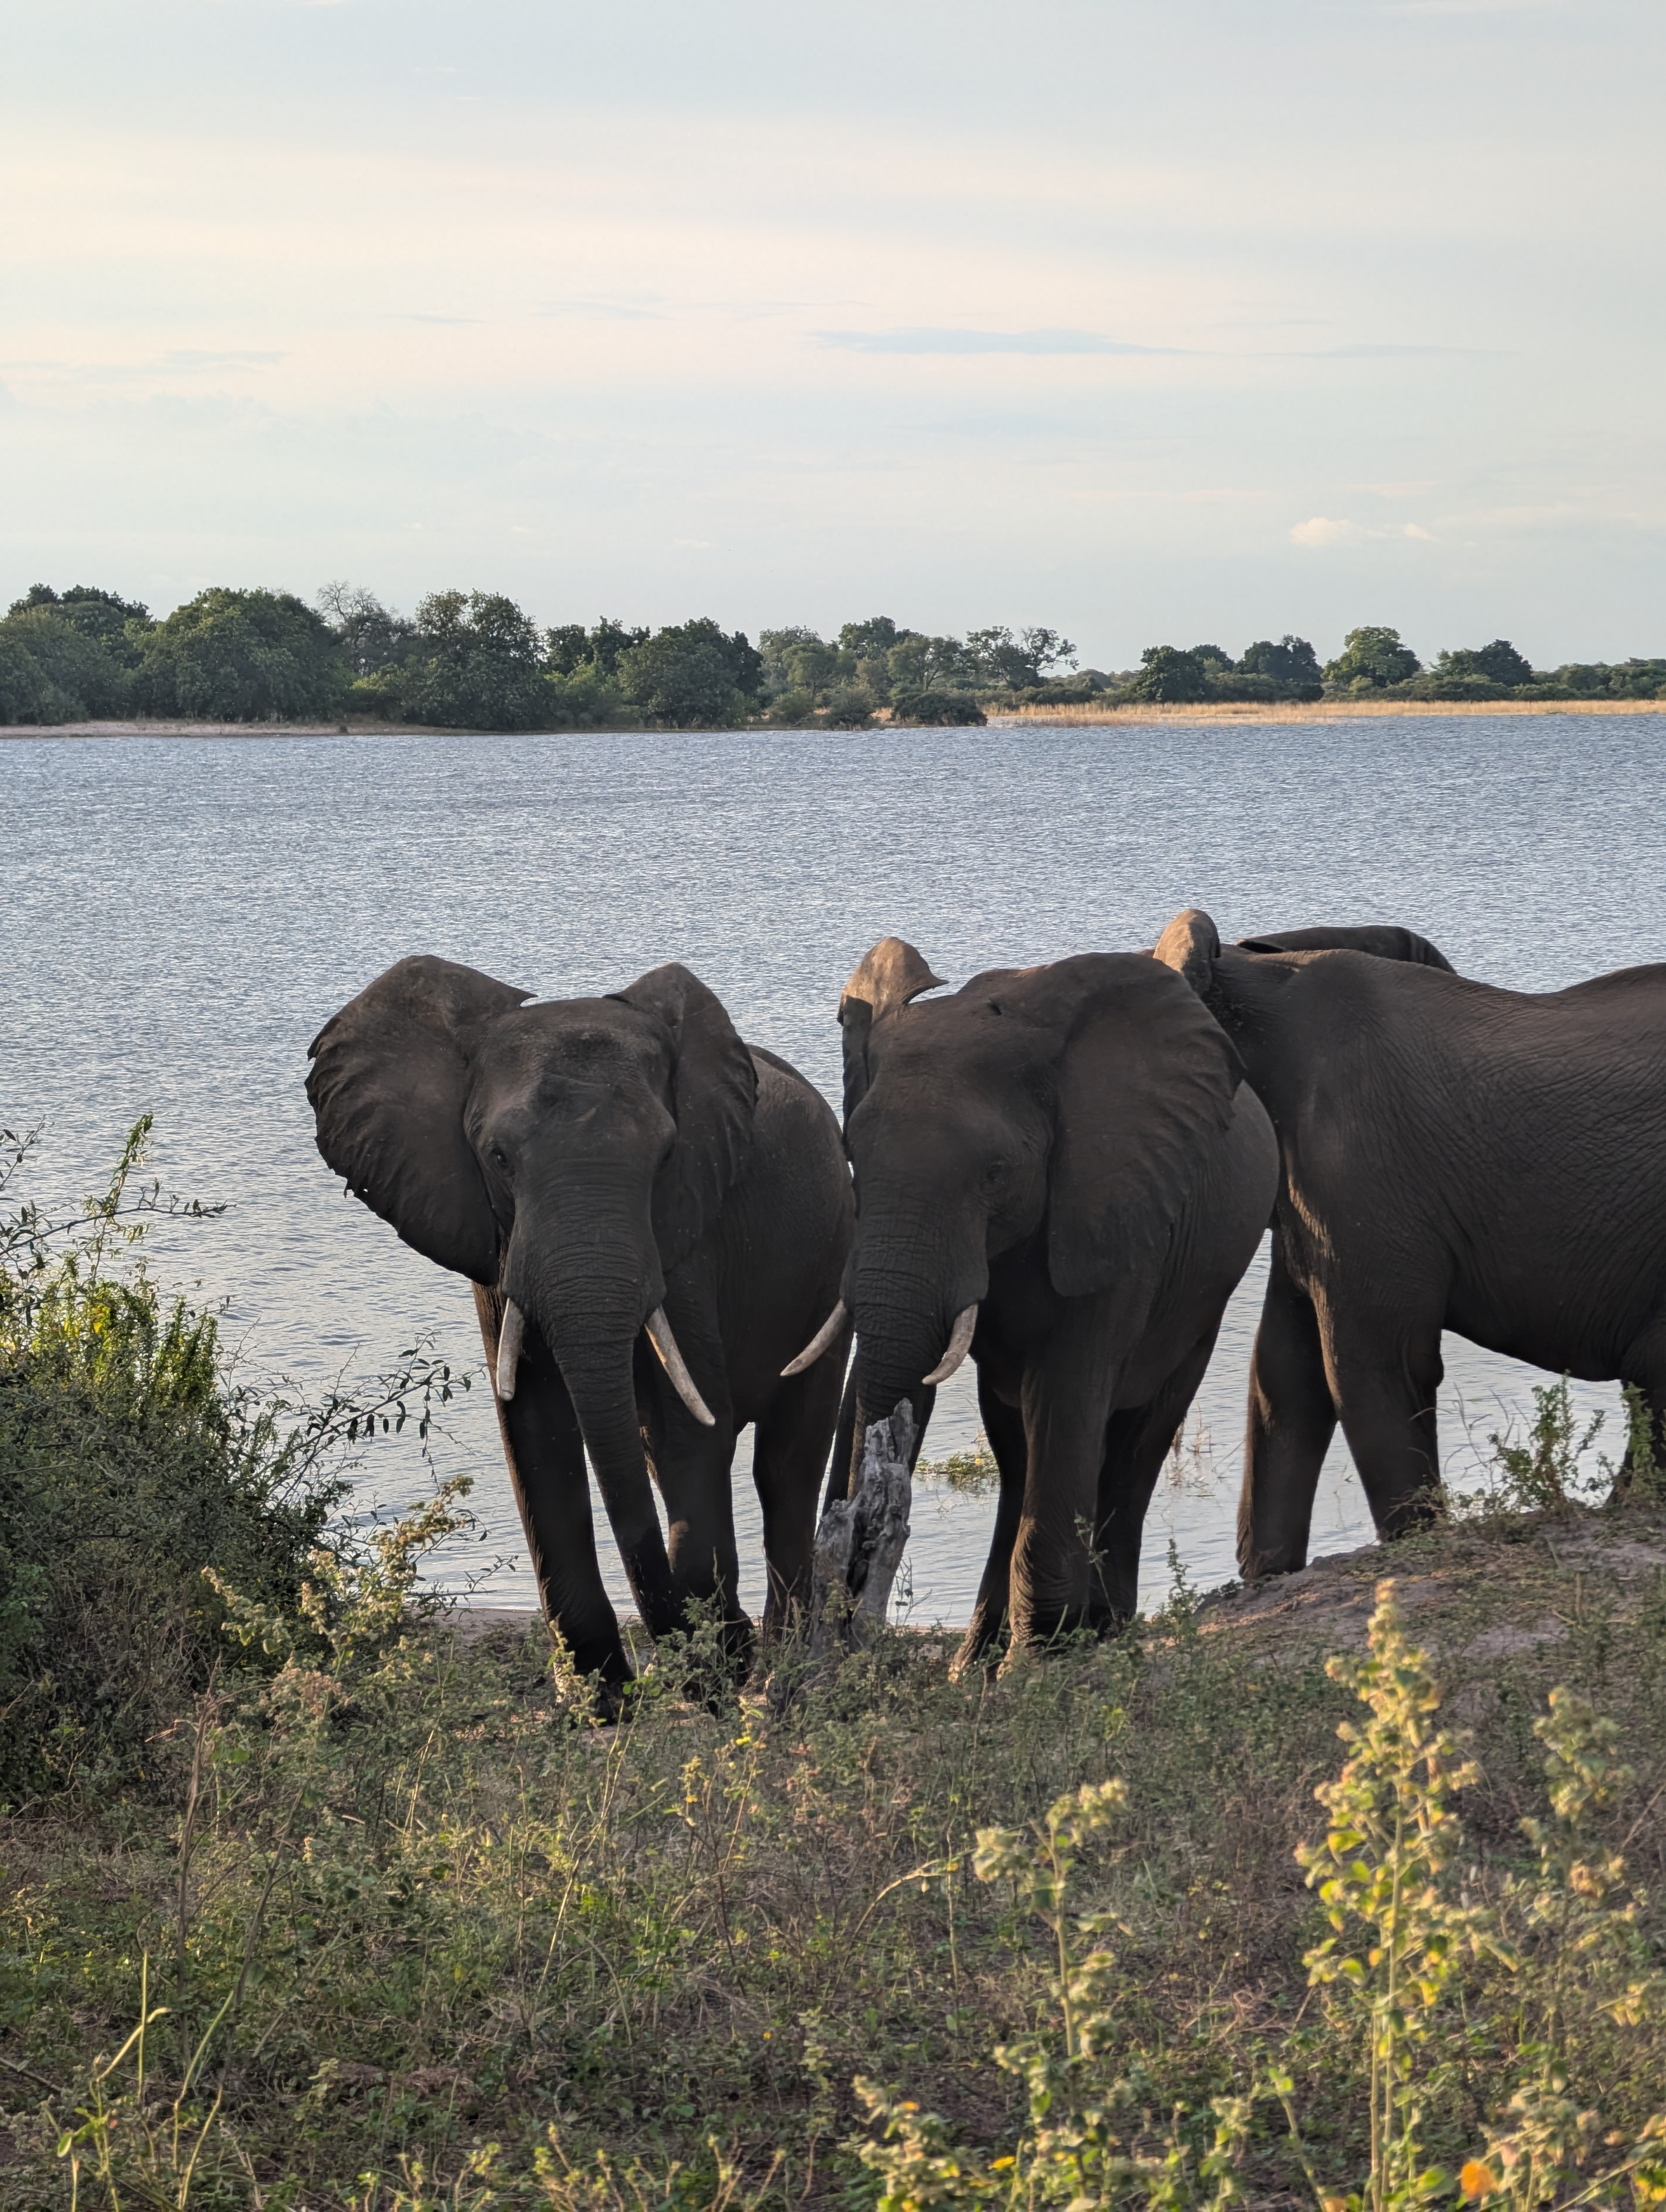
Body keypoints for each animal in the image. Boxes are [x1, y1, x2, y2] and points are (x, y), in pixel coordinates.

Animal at [307, 955, 853, 1693]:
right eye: (498, 1158)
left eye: (665, 1157)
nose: (727, 1645)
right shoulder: (496, 1245)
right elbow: (535, 1433)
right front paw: (605, 1700)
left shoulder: (687, 1236)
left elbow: (690, 1429)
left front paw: (712, 1676)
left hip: (836, 1253)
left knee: (785, 1463)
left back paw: (788, 1669)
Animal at [785, 937, 1279, 1665]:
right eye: (853, 1157)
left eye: (995, 1173)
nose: (851, 1579)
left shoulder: (1114, 1210)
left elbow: (1070, 1387)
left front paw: (1047, 1653)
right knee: (1016, 1446)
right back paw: (976, 1660)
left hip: (1204, 1293)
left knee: (1134, 1441)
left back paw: (1099, 1629)